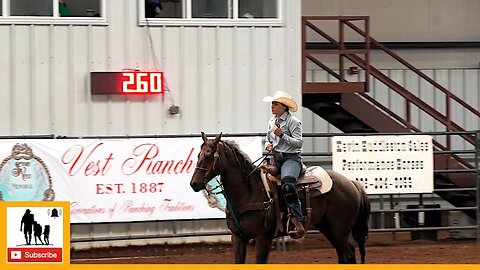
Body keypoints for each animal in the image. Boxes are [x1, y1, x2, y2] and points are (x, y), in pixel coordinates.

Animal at [189, 133, 370, 264]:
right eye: (198, 155)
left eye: (209, 156)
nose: (194, 183)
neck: (249, 192)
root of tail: (352, 183)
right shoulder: (238, 238)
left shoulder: (263, 238)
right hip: (328, 227)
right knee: (346, 254)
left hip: (340, 230)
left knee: (348, 254)